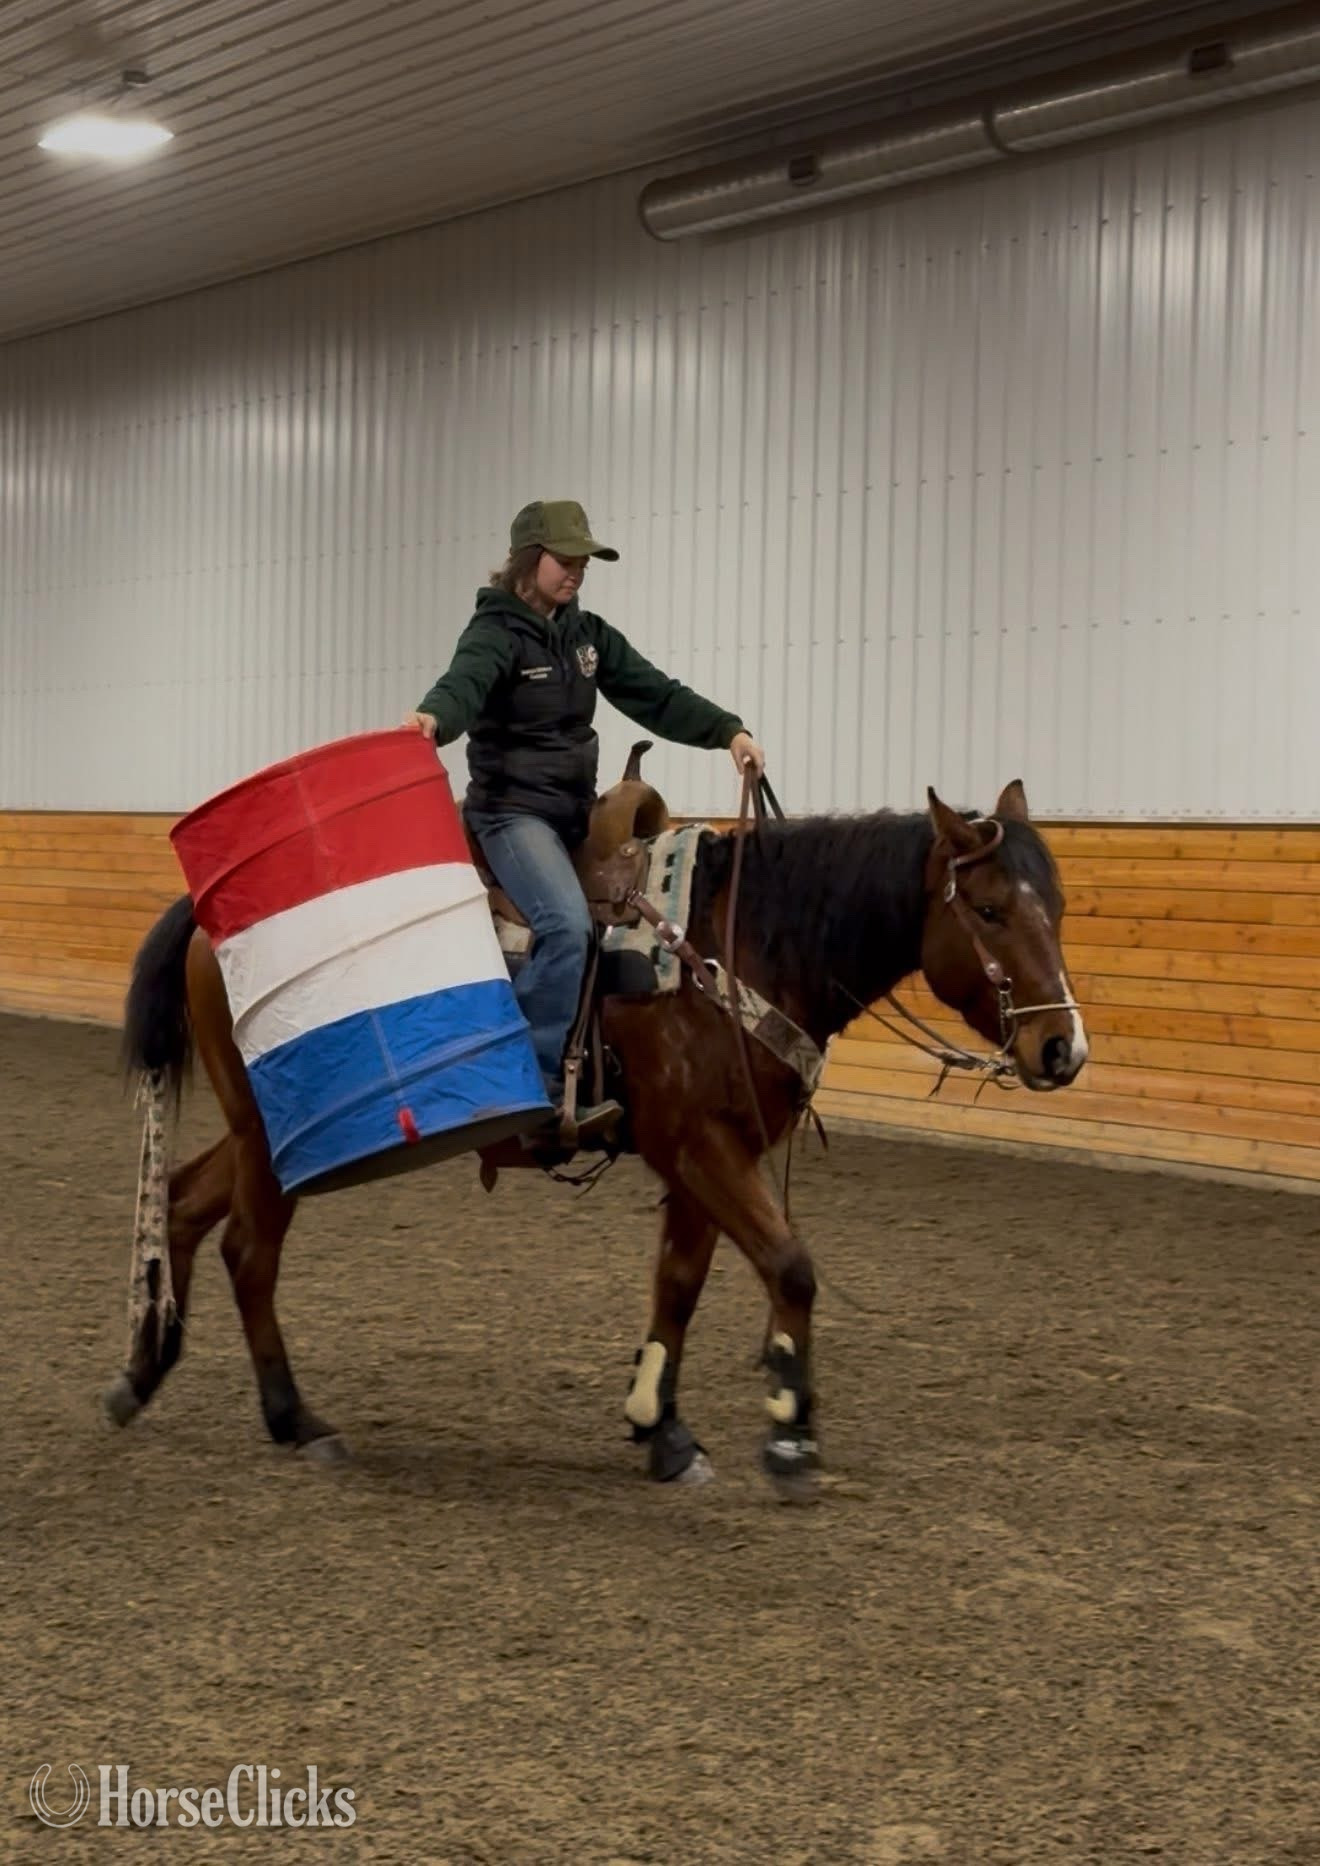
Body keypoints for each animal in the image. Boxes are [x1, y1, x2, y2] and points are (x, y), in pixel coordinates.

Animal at [105, 779, 1087, 1499]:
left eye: (1059, 905)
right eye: (989, 910)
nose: (1062, 1049)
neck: (741, 943)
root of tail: (207, 916)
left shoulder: (709, 1154)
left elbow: (680, 1286)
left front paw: (661, 1425)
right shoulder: (701, 1147)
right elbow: (790, 1265)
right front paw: (789, 1434)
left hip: (271, 1134)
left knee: (182, 1203)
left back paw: (143, 1371)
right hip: (274, 1128)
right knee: (248, 1248)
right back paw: (292, 1417)